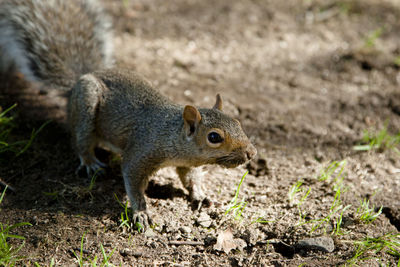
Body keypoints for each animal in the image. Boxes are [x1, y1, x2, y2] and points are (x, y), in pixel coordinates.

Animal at [0, 0, 256, 230]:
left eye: (237, 122)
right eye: (214, 137)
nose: (251, 153)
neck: (171, 134)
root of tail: (77, 83)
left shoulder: (186, 162)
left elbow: (189, 177)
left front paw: (200, 194)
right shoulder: (142, 151)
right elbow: (132, 180)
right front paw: (141, 212)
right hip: (86, 107)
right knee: (80, 140)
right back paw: (90, 162)